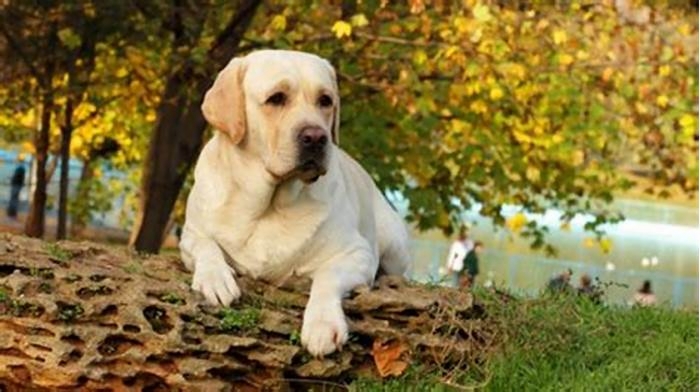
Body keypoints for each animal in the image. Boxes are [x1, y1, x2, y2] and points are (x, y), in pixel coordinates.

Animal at [179, 49, 410, 356]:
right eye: (276, 98)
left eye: (325, 100)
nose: (316, 137)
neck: (269, 204)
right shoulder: (191, 234)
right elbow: (206, 246)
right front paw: (215, 279)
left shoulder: (357, 253)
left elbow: (328, 275)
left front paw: (322, 325)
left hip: (394, 244)